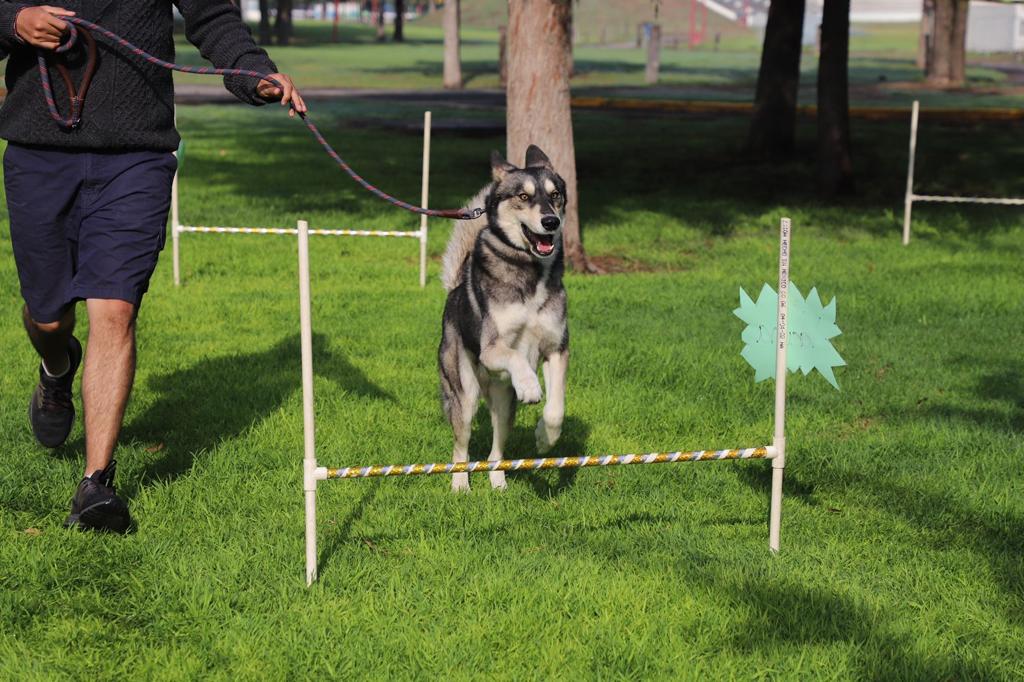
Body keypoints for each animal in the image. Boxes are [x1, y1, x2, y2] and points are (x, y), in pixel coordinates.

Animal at [438, 146, 573, 491]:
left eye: (555, 195)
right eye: (523, 197)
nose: (551, 222)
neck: (530, 271)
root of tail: (455, 291)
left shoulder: (556, 349)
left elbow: (556, 408)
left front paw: (545, 438)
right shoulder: (492, 348)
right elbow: (515, 356)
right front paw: (530, 385)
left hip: (504, 406)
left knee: (495, 451)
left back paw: (498, 482)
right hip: (464, 394)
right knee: (460, 447)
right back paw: (460, 485)